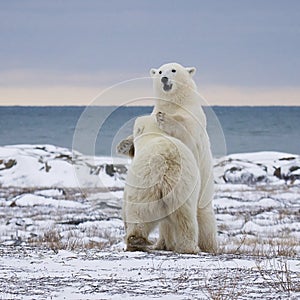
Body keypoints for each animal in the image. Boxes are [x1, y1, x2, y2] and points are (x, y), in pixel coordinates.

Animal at [124, 115, 202, 253]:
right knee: (185, 216)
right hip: (184, 185)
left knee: (139, 210)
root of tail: (165, 159)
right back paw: (189, 247)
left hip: (145, 181)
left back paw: (135, 241)